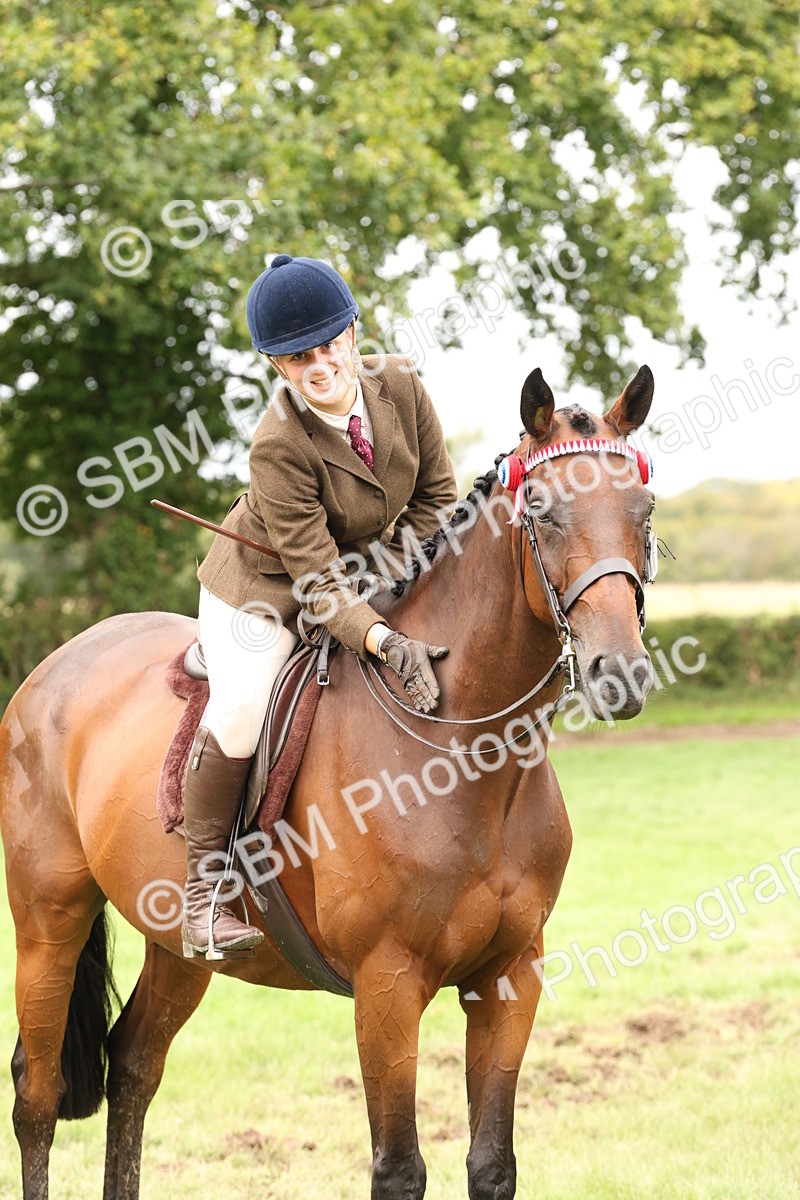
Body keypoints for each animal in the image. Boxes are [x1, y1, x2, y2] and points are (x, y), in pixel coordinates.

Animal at [0, 364, 656, 1200]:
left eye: (644, 509)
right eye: (541, 511)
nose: (620, 673)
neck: (471, 759)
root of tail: (58, 662)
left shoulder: (511, 977)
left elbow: (492, 1164)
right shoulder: (387, 987)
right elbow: (399, 1168)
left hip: (175, 945)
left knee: (136, 1065)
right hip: (48, 918)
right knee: (38, 1092)